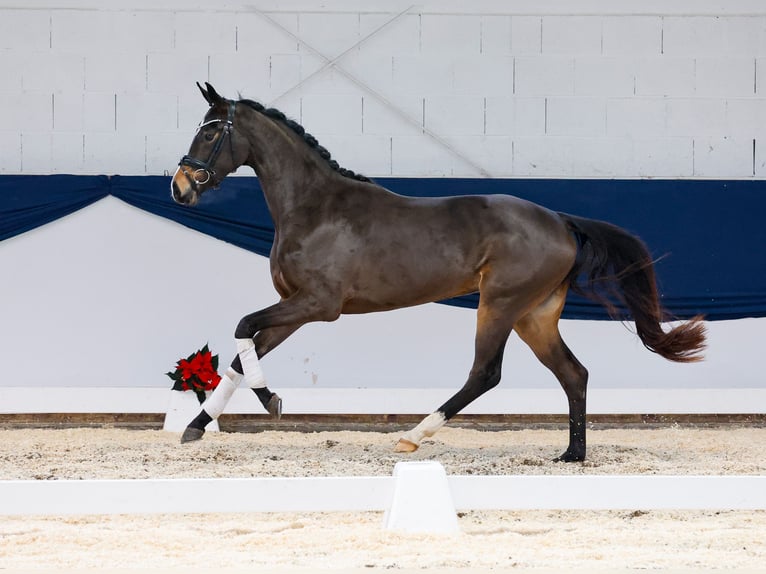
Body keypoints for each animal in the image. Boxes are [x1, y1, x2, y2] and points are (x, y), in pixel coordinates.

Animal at [171, 83, 704, 464]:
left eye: (211, 132)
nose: (180, 187)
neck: (314, 208)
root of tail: (560, 221)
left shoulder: (318, 305)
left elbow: (243, 328)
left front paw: (270, 401)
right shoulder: (295, 309)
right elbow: (242, 354)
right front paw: (197, 426)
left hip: (500, 304)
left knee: (486, 373)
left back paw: (412, 436)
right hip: (534, 316)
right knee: (574, 373)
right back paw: (572, 454)